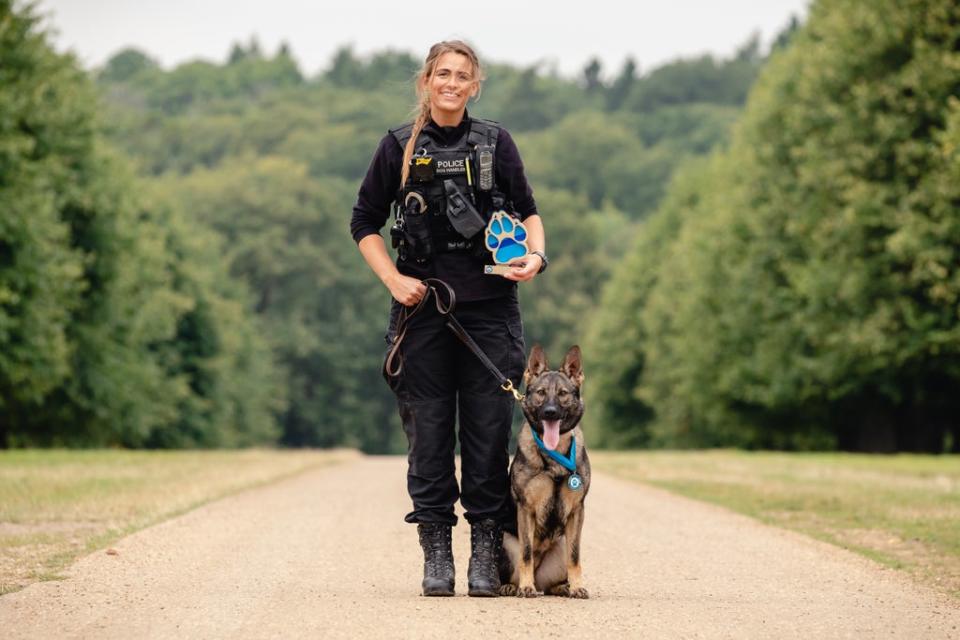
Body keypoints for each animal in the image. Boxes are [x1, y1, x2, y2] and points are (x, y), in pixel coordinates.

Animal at [498, 344, 588, 600]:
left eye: (562, 393)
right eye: (540, 392)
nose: (550, 412)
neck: (553, 454)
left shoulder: (577, 512)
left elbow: (575, 557)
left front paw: (577, 587)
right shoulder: (526, 510)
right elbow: (527, 554)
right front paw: (525, 588)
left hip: (560, 546)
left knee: (552, 582)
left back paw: (563, 587)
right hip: (506, 545)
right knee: (514, 570)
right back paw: (513, 586)